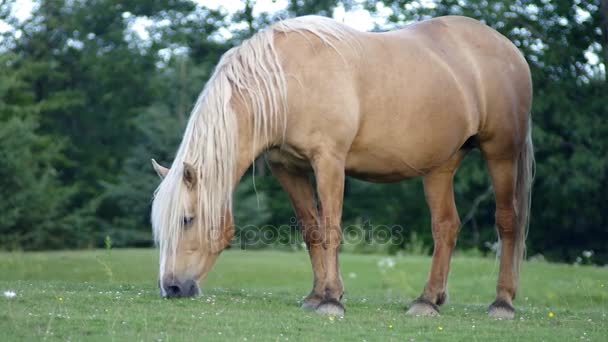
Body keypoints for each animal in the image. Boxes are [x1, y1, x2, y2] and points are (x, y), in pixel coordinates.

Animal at [151, 14, 532, 320]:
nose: (171, 288)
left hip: (501, 153)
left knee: (507, 221)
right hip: (440, 166)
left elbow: (331, 227)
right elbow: (312, 230)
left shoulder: (329, 161)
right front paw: (316, 295)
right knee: (446, 227)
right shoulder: (287, 167)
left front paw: (332, 300)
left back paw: (502, 304)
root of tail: (509, 48)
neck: (287, 80)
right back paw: (427, 301)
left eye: (187, 219)